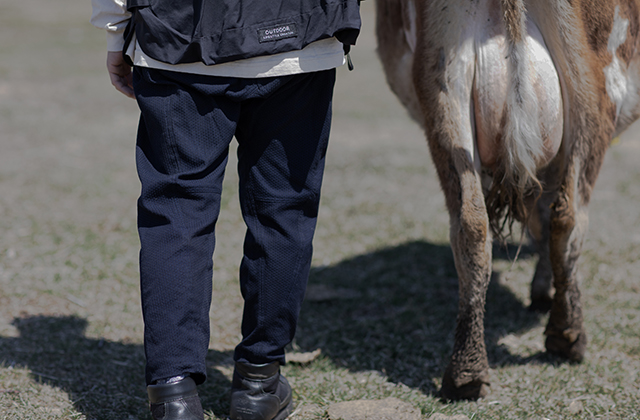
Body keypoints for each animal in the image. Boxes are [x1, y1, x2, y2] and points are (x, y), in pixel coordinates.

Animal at [376, 0, 640, 402]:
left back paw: (467, 373)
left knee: (471, 225)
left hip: (443, 84)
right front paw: (544, 290)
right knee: (569, 219)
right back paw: (567, 338)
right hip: (597, 92)